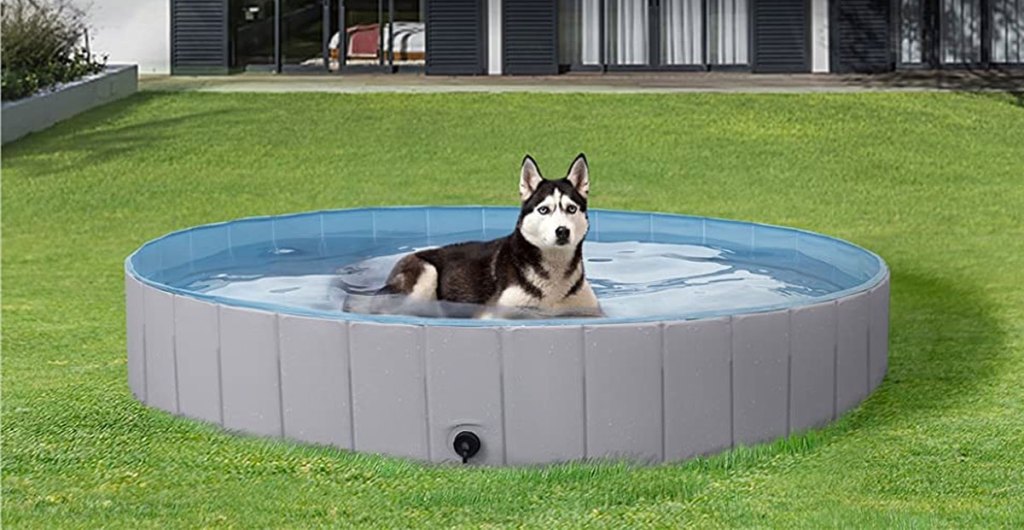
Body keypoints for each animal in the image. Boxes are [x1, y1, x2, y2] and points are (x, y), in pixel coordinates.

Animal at [344, 153, 598, 319]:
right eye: (544, 210)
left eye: (571, 209)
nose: (562, 231)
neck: (554, 273)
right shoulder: (494, 314)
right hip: (425, 276)